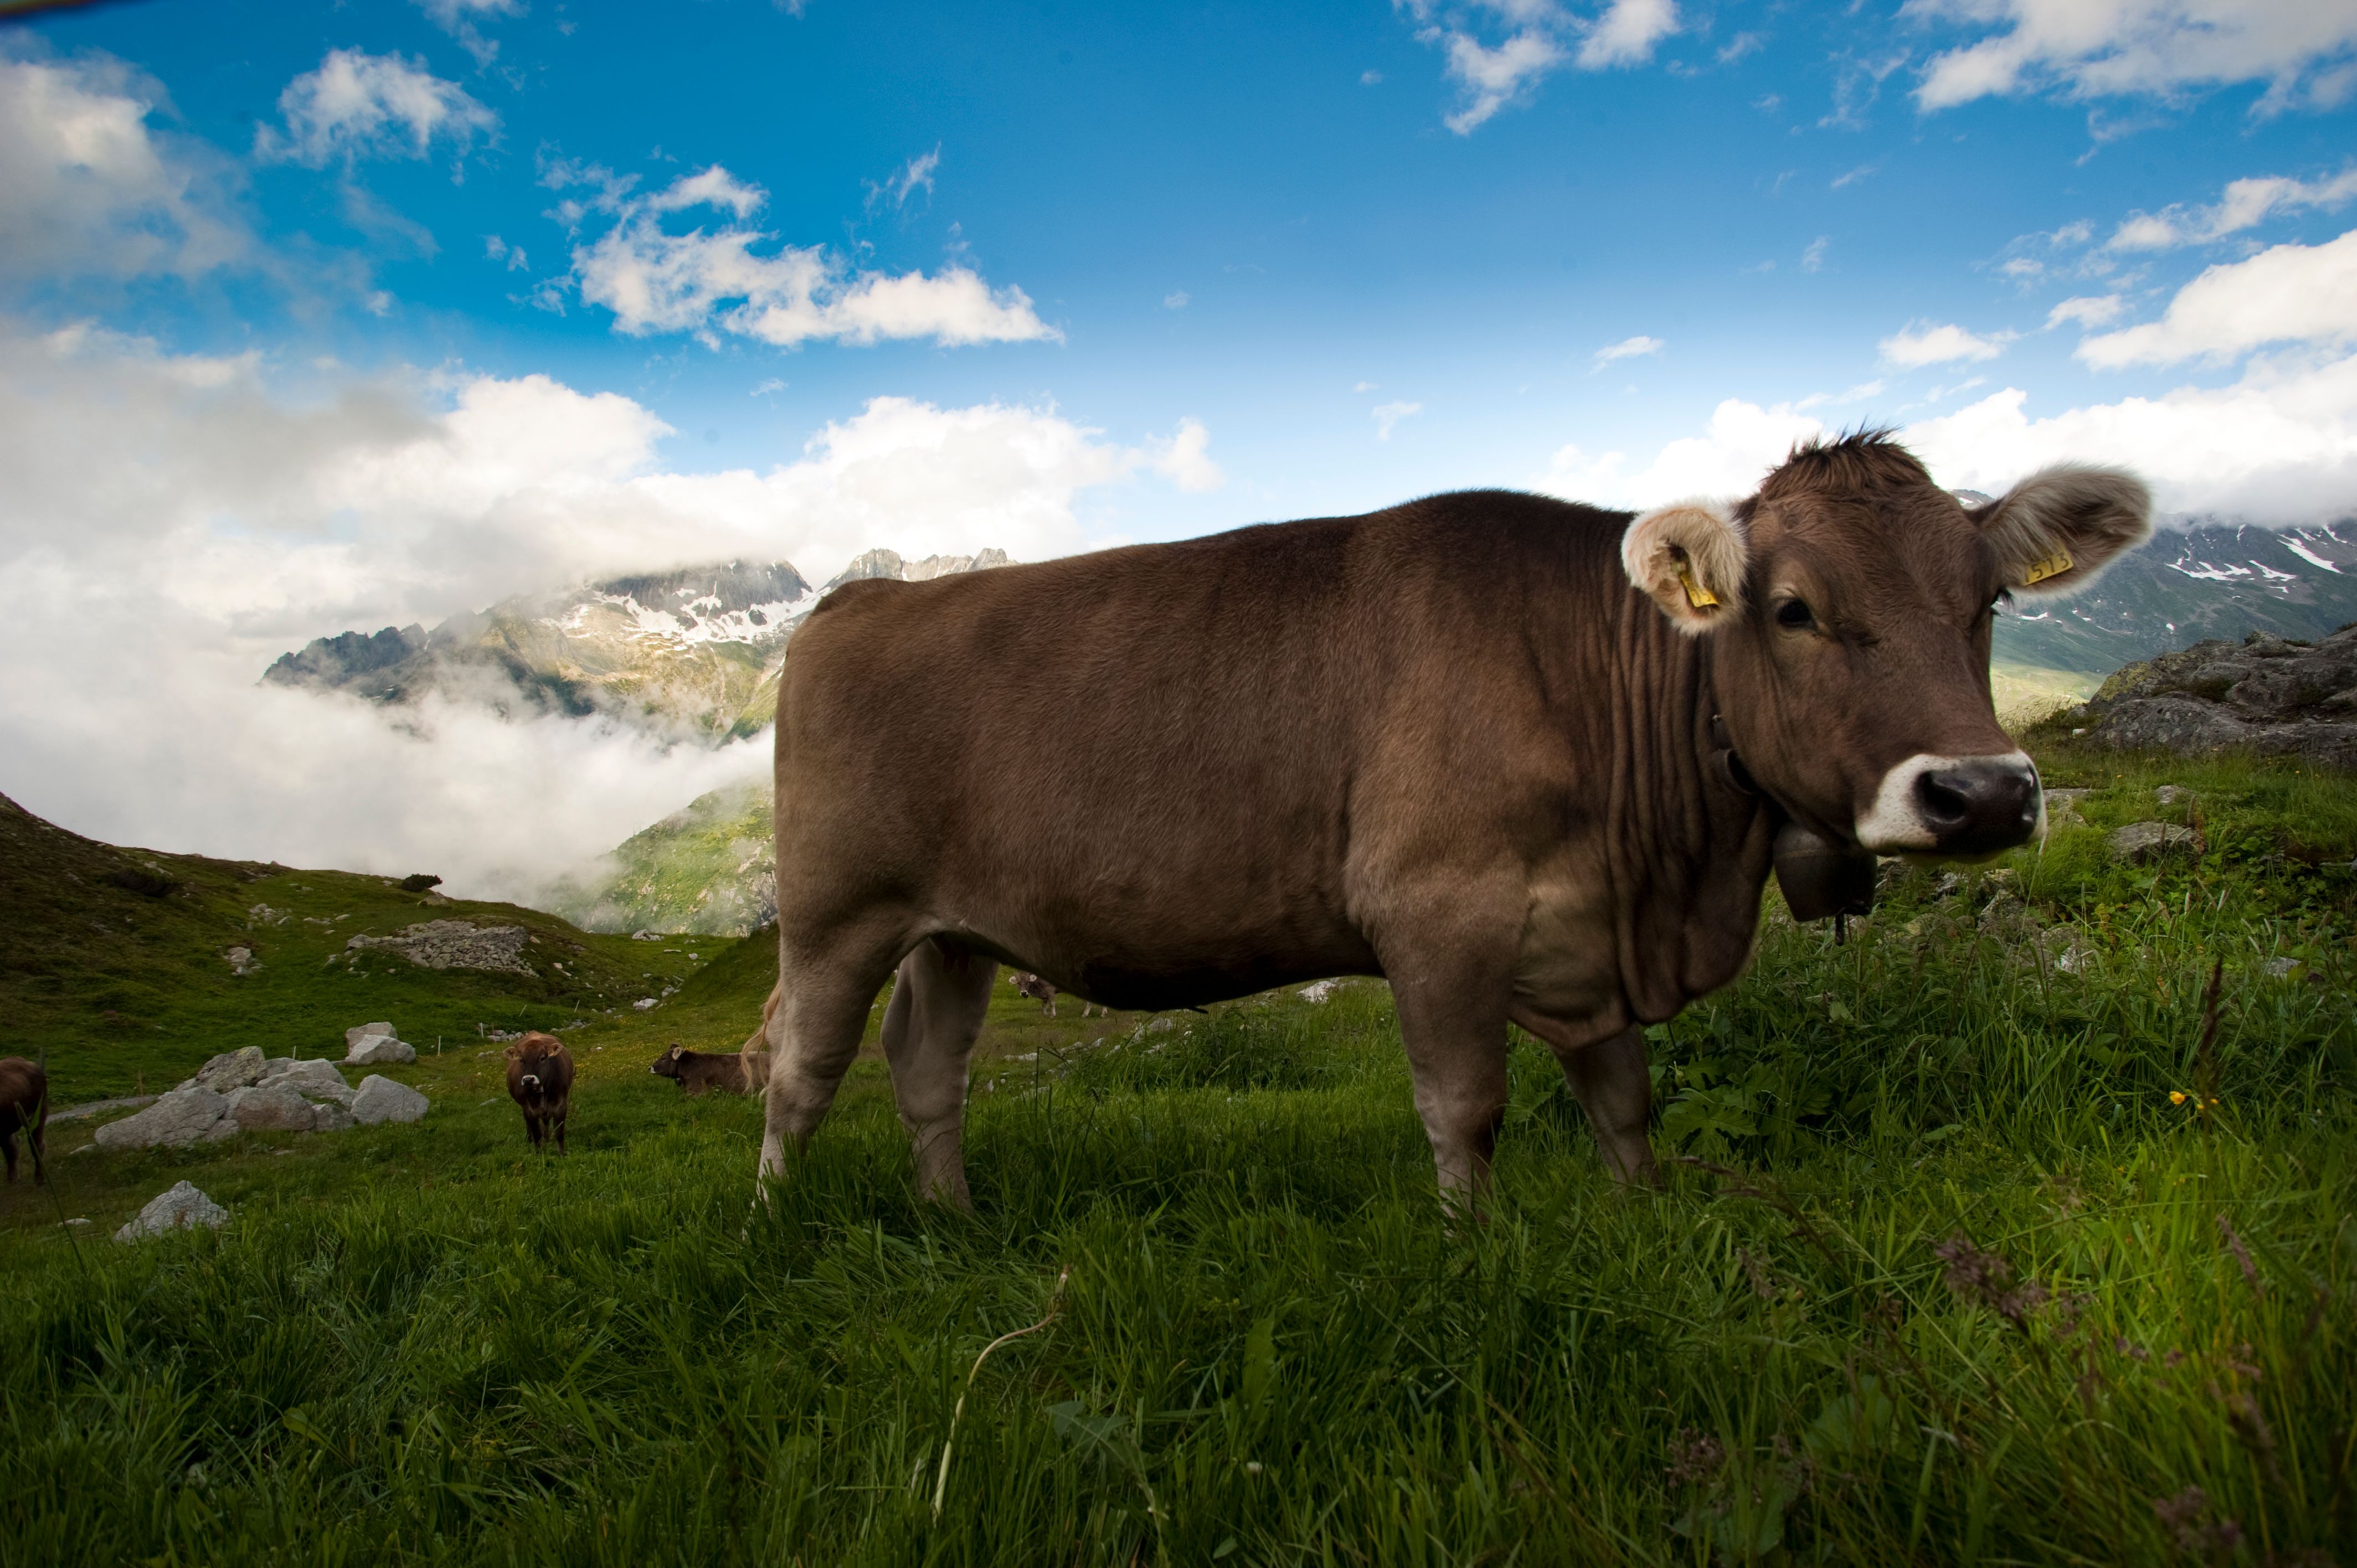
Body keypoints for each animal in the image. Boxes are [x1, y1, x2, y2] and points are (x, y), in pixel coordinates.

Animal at [0, 1057, 46, 1186]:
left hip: (40, 1113)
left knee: (38, 1146)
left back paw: (39, 1180)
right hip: (6, 1129)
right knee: (12, 1150)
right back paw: (13, 1181)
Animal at [504, 1033, 574, 1153]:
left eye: (542, 1058)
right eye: (521, 1060)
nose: (528, 1080)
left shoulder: (562, 1105)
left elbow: (559, 1133)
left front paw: (562, 1154)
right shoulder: (528, 1109)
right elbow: (537, 1135)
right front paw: (538, 1154)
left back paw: (548, 1138)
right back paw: (530, 1138)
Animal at [750, 436, 2150, 1210]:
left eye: (1986, 603)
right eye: (1792, 608)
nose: (1984, 794)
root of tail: (860, 601)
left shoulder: (1589, 937)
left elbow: (1626, 1103)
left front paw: (1643, 1222)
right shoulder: (1436, 913)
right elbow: (1466, 1110)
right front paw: (1472, 1257)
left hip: (956, 931)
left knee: (927, 1069)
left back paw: (955, 1222)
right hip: (833, 910)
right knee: (801, 1072)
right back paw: (770, 1230)